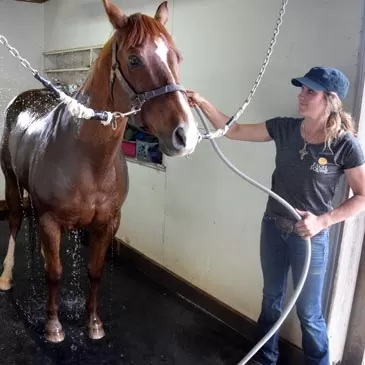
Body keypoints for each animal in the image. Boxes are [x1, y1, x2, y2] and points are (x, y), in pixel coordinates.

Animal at [0, 0, 198, 342]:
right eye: (134, 59)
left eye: (177, 56)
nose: (185, 135)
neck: (88, 157)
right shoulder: (51, 220)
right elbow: (55, 274)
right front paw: (53, 326)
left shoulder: (108, 222)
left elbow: (94, 271)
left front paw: (93, 323)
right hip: (10, 182)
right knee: (14, 222)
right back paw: (7, 275)